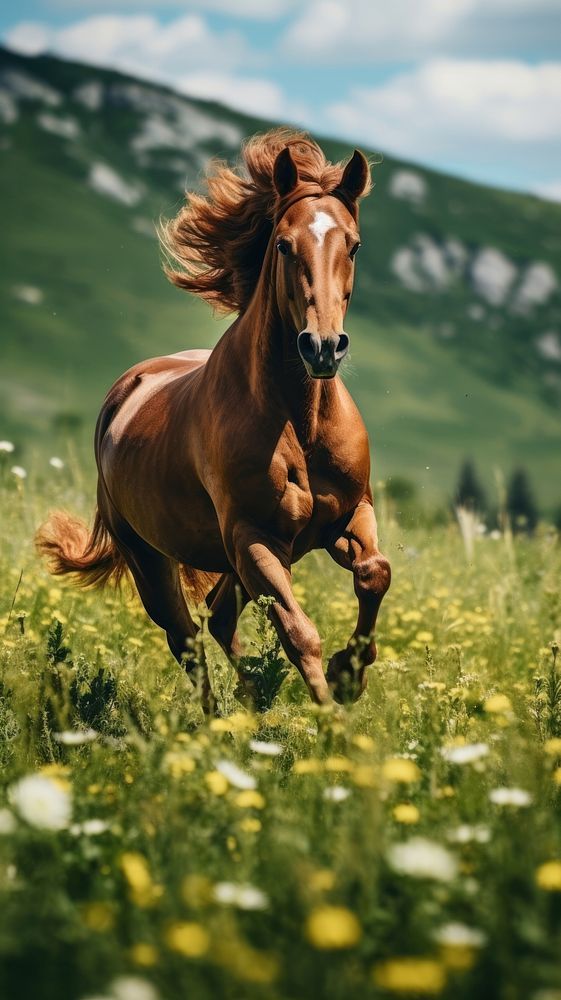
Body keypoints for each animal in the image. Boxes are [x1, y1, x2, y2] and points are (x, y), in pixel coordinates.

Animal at [37, 131, 390, 712]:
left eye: (354, 245)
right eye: (283, 245)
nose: (322, 347)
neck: (300, 423)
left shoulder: (349, 516)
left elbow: (374, 573)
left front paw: (350, 673)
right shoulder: (255, 539)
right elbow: (300, 634)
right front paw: (332, 720)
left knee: (220, 618)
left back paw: (251, 701)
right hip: (153, 560)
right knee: (186, 639)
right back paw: (218, 721)